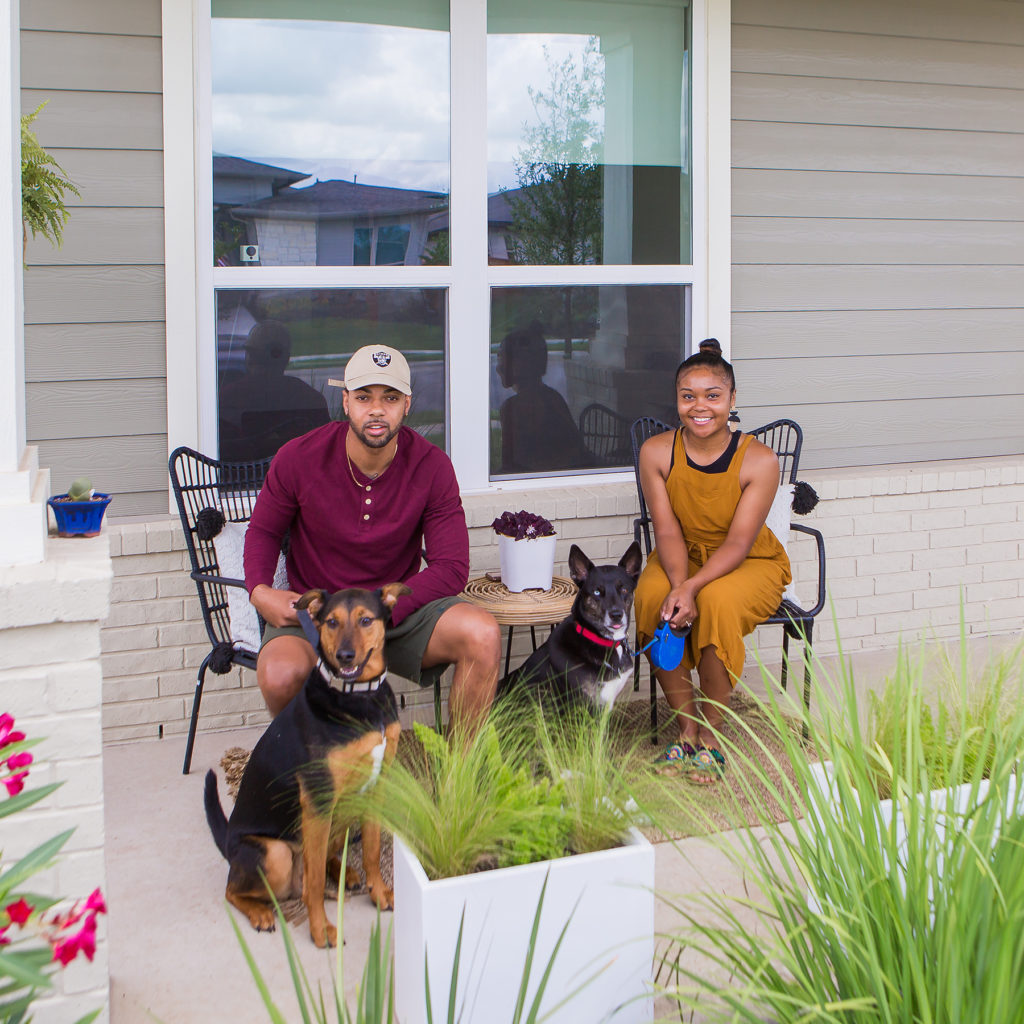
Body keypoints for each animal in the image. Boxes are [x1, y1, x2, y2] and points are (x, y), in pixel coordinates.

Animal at [201, 581, 409, 946]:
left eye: (366, 620)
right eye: (331, 622)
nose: (345, 657)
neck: (360, 696)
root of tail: (228, 844)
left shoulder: (375, 785)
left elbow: (371, 851)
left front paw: (380, 893)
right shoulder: (318, 799)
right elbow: (311, 885)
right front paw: (320, 929)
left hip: (341, 815)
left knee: (321, 862)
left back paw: (345, 874)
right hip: (277, 853)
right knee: (237, 890)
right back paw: (261, 912)